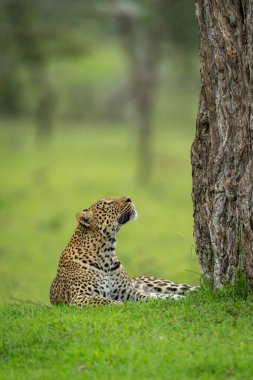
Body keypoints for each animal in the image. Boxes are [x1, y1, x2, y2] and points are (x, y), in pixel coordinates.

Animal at [50, 196, 198, 306]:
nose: (129, 198)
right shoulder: (78, 297)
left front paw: (154, 300)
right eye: (107, 203)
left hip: (167, 285)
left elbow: (144, 295)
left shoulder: (128, 291)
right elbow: (100, 300)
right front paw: (117, 304)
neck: (106, 253)